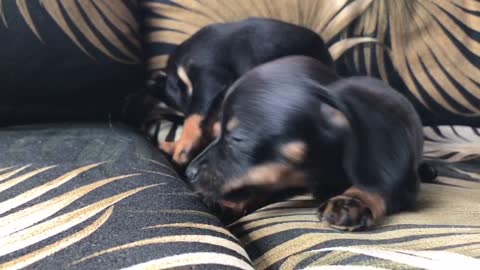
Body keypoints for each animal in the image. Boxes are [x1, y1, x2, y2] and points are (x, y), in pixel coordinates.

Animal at [184, 56, 432, 231]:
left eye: (237, 137)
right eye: (216, 132)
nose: (189, 172)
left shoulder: (400, 181)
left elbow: (376, 184)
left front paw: (351, 201)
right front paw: (229, 204)